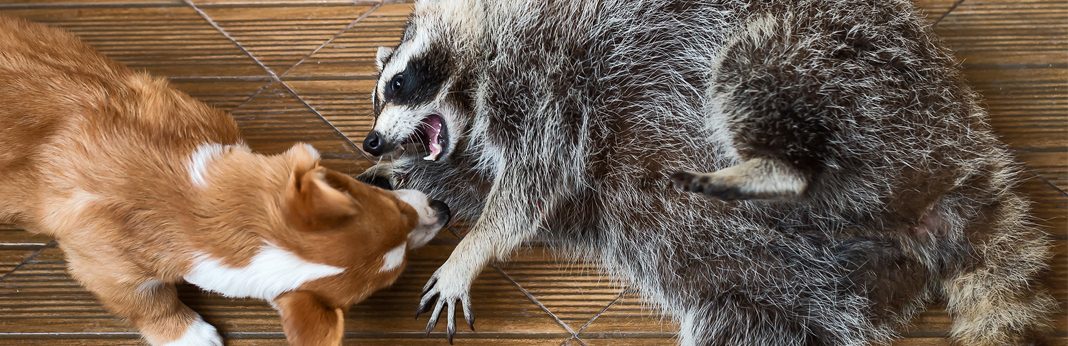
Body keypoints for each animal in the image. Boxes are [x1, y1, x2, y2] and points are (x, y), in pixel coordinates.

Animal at [0, 14, 448, 343]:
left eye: (391, 205)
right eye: (394, 273)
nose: (444, 209)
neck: (188, 198)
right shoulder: (105, 267)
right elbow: (149, 304)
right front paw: (190, 335)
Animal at [356, 1, 1050, 343]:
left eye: (399, 82)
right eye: (375, 94)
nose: (369, 140)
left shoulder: (548, 75)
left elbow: (536, 181)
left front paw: (468, 253)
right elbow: (502, 187)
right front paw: (407, 177)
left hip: (851, 71)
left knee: (750, 65)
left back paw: (778, 167)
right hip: (784, 293)